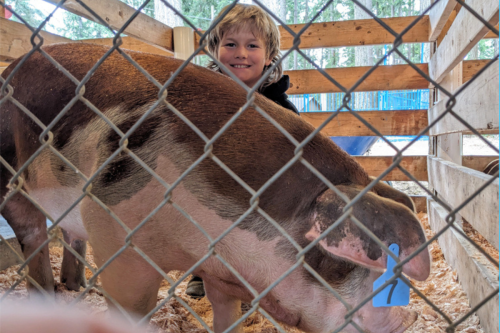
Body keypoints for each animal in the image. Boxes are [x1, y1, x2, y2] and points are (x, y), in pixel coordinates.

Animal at [0, 44, 430, 332]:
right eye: (341, 264)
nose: (404, 319)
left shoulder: (221, 274)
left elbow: (226, 314)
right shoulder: (118, 237)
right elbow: (130, 304)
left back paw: (72, 287)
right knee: (32, 231)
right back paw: (45, 297)